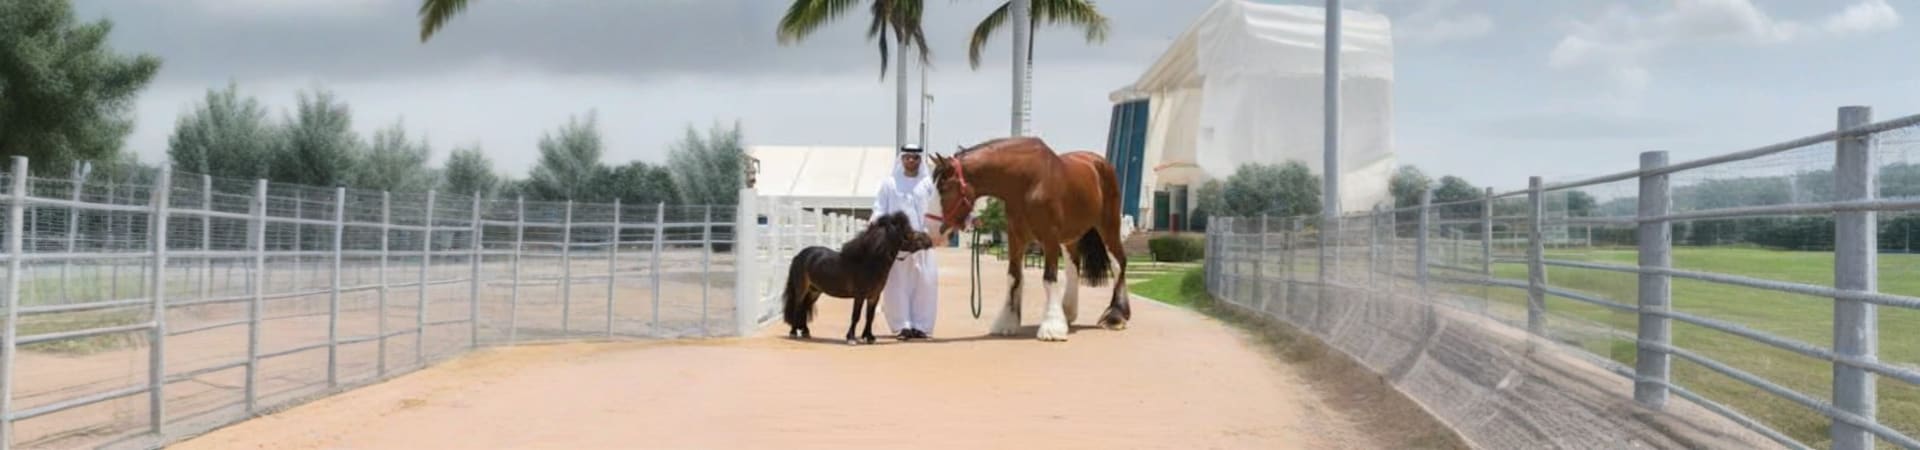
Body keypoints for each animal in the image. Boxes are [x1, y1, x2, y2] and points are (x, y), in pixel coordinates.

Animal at [781, 211, 937, 345]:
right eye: (908, 233)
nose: (929, 240)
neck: (867, 263)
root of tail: (799, 255)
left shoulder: (874, 296)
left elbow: (870, 316)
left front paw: (869, 337)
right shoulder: (859, 296)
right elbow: (856, 316)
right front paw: (851, 338)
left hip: (815, 291)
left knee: (805, 307)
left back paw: (806, 332)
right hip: (802, 289)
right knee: (798, 307)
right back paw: (794, 332)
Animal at [928, 136, 1129, 342]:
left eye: (943, 188)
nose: (932, 229)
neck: (1029, 181)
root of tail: (1099, 163)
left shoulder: (1050, 237)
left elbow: (1049, 278)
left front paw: (1051, 328)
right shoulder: (1016, 237)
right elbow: (1013, 277)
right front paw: (1007, 322)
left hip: (1109, 226)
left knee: (1118, 263)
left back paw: (1116, 317)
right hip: (1070, 237)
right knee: (1073, 268)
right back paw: (1067, 312)